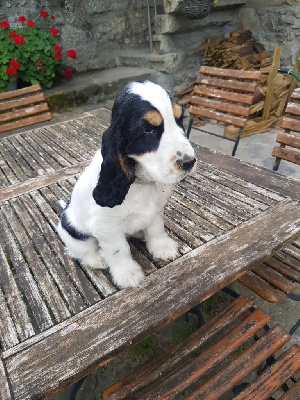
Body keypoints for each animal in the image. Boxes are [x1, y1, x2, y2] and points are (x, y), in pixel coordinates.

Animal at [57, 81, 196, 288]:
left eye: (180, 119)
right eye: (148, 129)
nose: (189, 162)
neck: (142, 182)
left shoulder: (156, 210)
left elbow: (156, 228)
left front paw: (161, 247)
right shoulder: (106, 226)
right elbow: (118, 250)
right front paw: (127, 274)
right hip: (74, 233)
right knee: (80, 251)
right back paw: (97, 259)